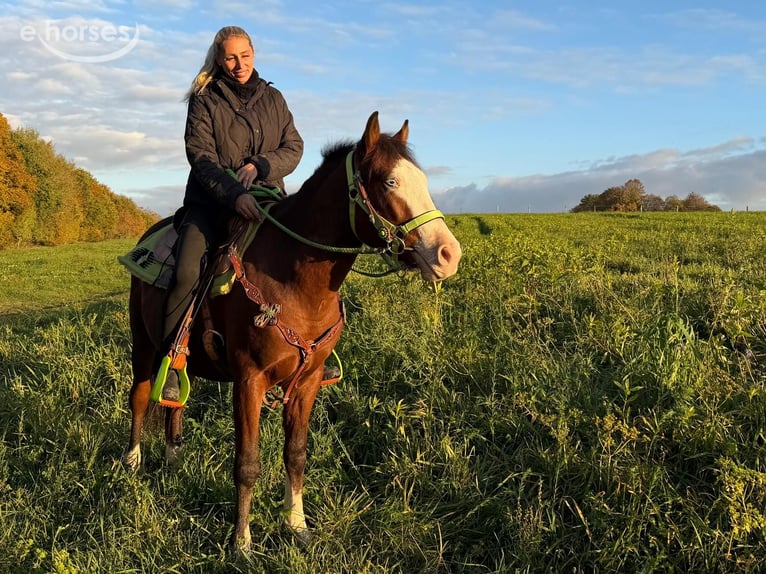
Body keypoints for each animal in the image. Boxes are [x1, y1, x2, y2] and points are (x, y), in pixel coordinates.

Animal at [123, 111, 462, 550]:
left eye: (422, 179)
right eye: (390, 182)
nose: (449, 255)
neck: (294, 279)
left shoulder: (308, 381)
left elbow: (296, 453)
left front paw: (296, 525)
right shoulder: (248, 382)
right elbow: (247, 463)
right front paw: (242, 543)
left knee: (173, 401)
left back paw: (173, 459)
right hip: (144, 345)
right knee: (141, 396)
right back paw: (132, 463)